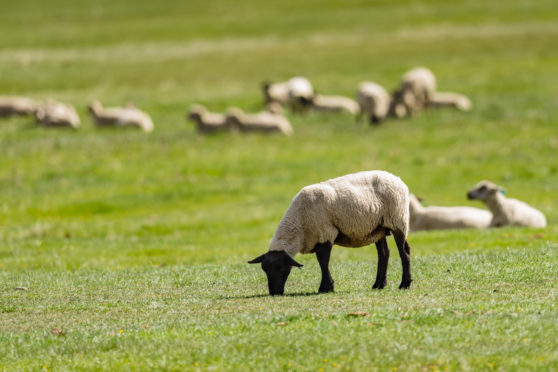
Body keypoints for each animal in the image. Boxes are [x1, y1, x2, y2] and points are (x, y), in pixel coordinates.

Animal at [248, 171, 412, 296]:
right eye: (264, 269)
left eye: (280, 268)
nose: (274, 292)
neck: (299, 223)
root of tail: (397, 179)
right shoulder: (316, 236)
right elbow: (321, 260)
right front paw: (327, 286)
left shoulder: (325, 232)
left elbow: (323, 260)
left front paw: (326, 287)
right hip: (378, 228)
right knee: (384, 253)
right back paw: (379, 284)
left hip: (398, 219)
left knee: (404, 252)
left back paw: (405, 284)